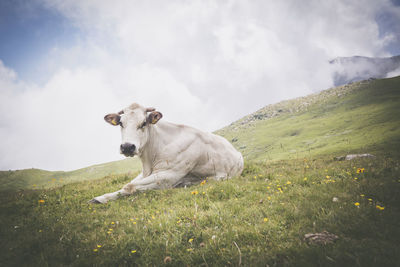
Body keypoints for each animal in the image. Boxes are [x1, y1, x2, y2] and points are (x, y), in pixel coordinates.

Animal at [88, 103, 242, 204]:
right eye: (121, 123)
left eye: (144, 123)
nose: (127, 147)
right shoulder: (144, 173)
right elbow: (127, 184)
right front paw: (100, 198)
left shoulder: (169, 174)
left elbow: (129, 186)